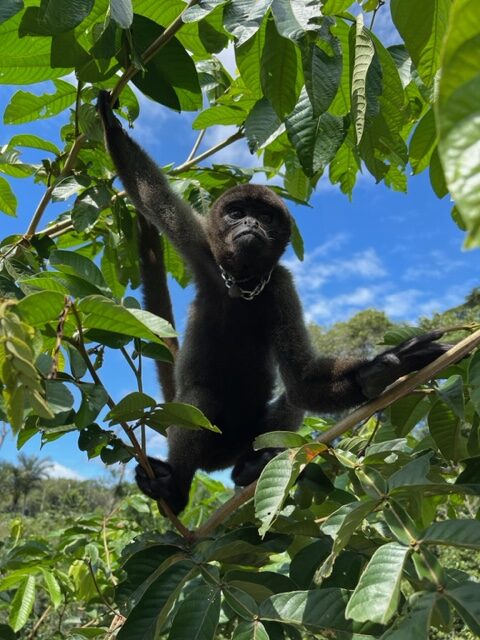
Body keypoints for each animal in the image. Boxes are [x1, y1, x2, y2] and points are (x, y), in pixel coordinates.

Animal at [97, 92, 450, 516]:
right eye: (237, 213)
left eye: (264, 216)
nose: (250, 226)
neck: (244, 285)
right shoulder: (202, 248)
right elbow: (150, 196)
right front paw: (109, 121)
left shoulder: (280, 285)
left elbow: (300, 380)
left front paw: (379, 372)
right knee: (198, 397)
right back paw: (177, 488)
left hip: (252, 436)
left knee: (292, 401)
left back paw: (249, 469)